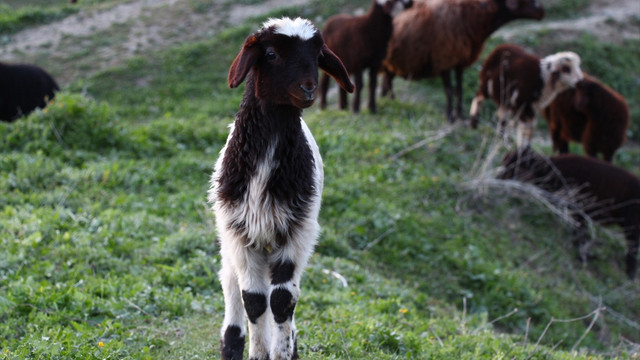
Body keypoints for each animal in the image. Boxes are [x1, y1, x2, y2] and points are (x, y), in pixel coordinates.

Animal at [380, 0, 544, 122]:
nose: (541, 13)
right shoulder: (444, 59)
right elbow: (449, 90)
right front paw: (449, 117)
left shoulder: (460, 61)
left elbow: (459, 89)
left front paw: (460, 116)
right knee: (387, 82)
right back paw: (389, 101)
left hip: (392, 65)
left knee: (387, 82)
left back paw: (389, 101)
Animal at [500, 148, 640, 280]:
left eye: (512, 166)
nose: (498, 178)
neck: (548, 170)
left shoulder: (579, 210)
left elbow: (579, 234)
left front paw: (583, 256)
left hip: (631, 225)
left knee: (632, 249)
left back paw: (630, 274)